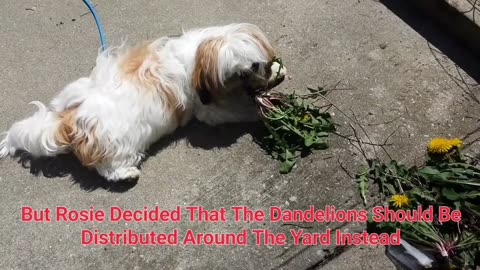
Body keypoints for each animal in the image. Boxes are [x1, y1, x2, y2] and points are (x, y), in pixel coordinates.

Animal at [0, 23, 284, 181]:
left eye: (255, 65)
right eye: (234, 76)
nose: (251, 78)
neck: (197, 58)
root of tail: (68, 120)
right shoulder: (209, 108)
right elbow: (235, 110)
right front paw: (259, 111)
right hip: (119, 143)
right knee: (108, 167)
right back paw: (126, 174)